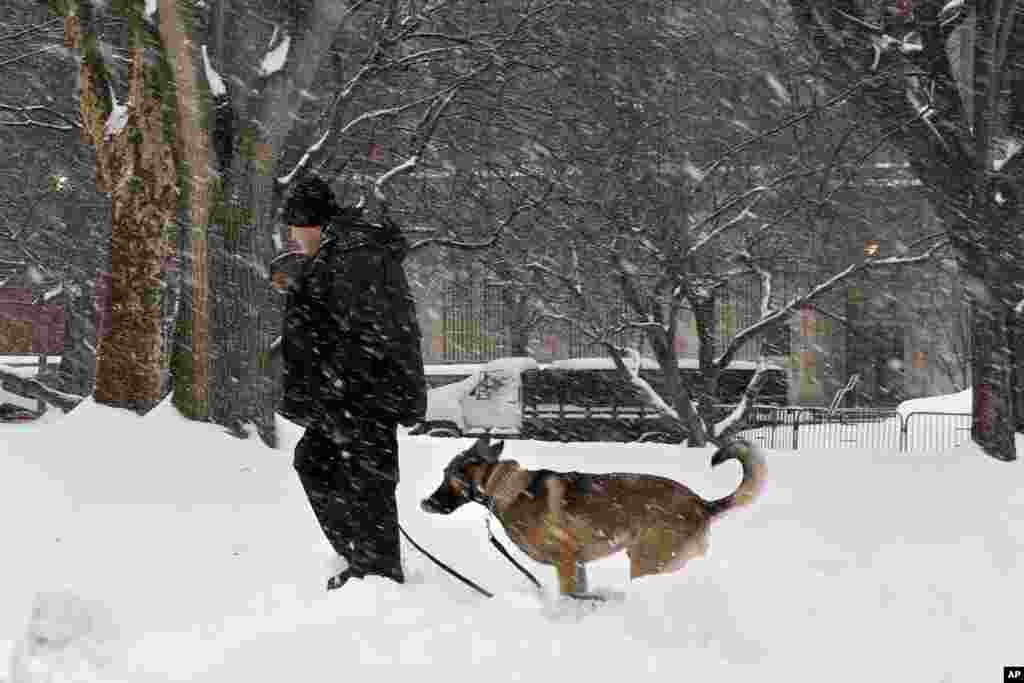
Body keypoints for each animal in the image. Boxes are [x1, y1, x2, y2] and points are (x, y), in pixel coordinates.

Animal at [419, 438, 765, 598]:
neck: (501, 484)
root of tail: (702, 503)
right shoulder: (578, 564)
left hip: (646, 563)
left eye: (446, 475)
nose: (424, 503)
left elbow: (570, 595)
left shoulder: (566, 560)